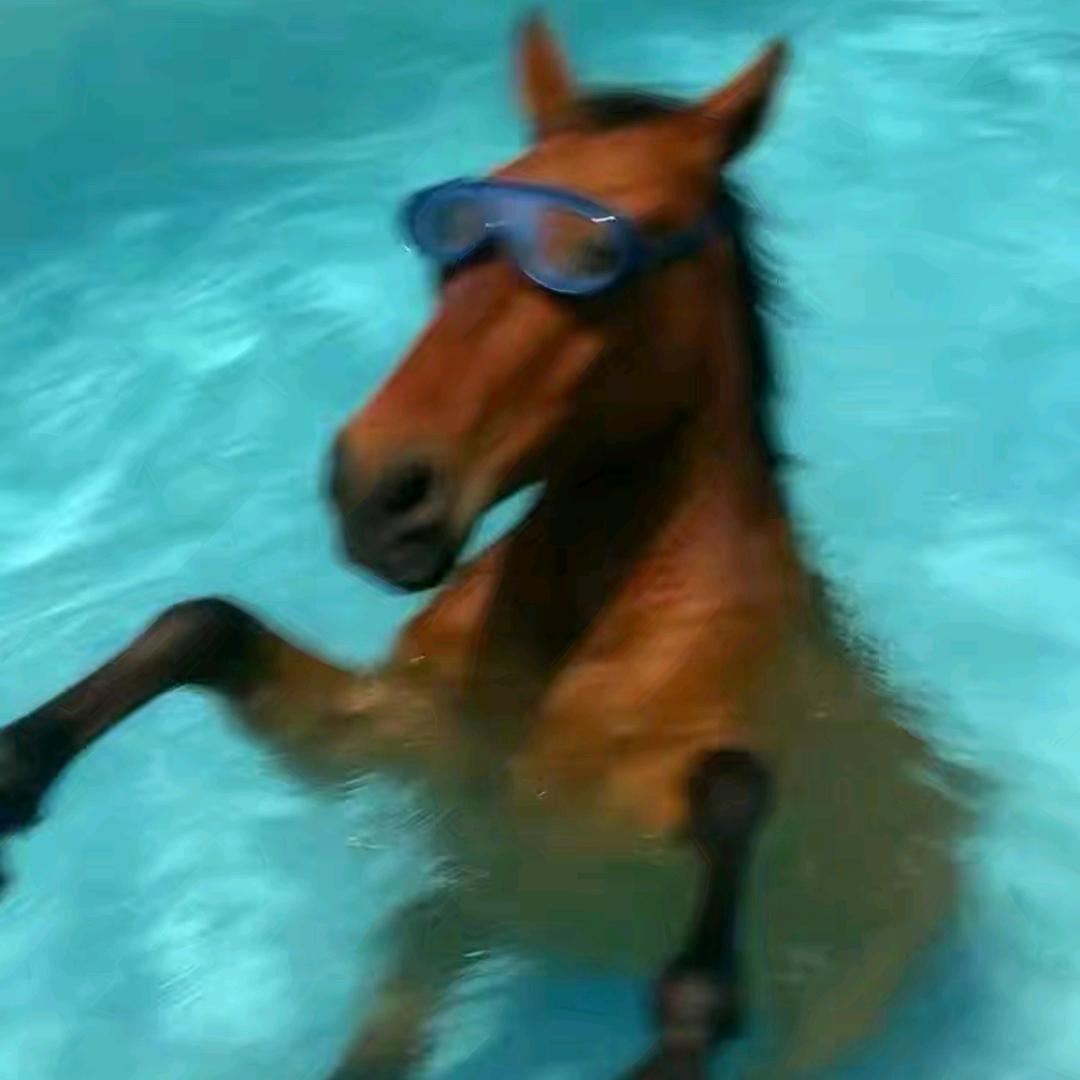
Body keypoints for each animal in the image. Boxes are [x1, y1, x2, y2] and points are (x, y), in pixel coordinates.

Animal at [0, 15, 969, 1080]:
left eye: (603, 253)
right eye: (455, 229)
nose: (378, 495)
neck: (579, 645)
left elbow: (732, 805)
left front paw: (699, 991)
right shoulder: (388, 744)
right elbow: (202, 624)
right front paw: (14, 776)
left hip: (835, 1002)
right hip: (455, 915)